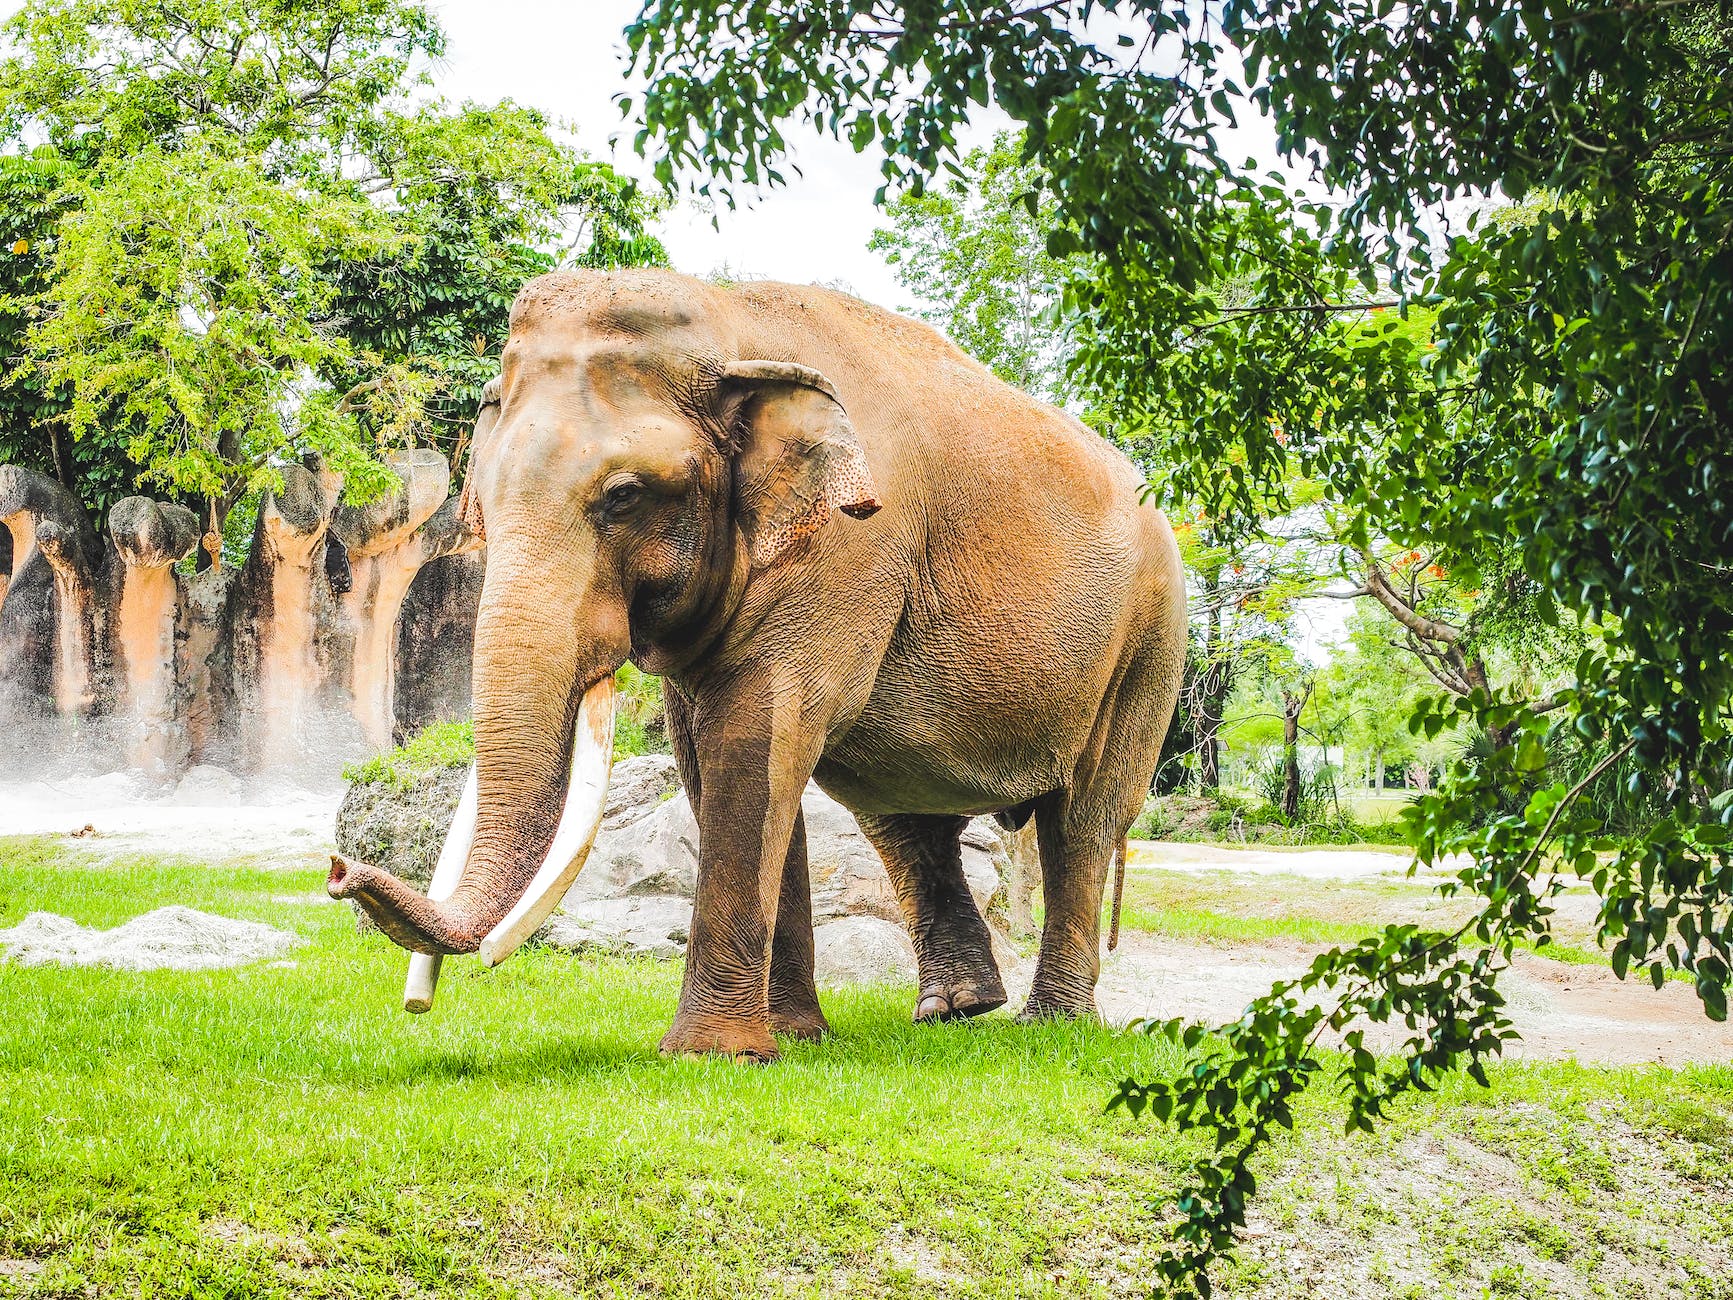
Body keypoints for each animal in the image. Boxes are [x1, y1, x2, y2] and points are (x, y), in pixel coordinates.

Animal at [329, 270, 1185, 1060]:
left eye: (624, 496)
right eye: (484, 497)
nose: (339, 870)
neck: (727, 318)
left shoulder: (849, 546)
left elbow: (754, 733)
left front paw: (712, 1053)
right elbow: (711, 757)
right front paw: (795, 1040)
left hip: (1150, 638)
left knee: (1083, 818)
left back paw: (1054, 1025)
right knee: (902, 819)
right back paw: (955, 1010)